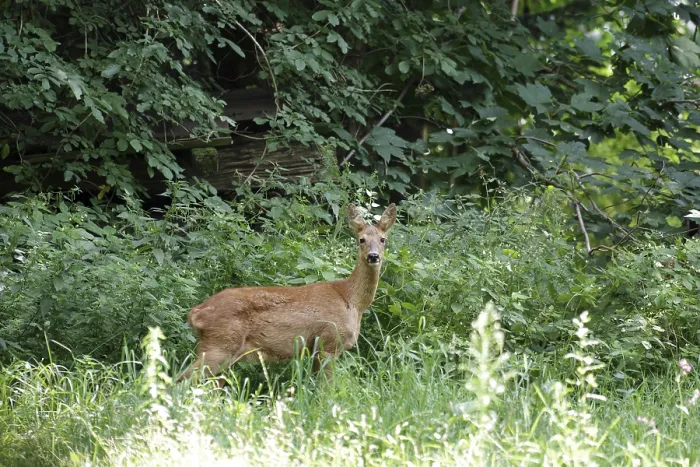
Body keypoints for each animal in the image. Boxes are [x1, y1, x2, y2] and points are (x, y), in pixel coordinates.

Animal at [177, 203, 397, 384]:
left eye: (383, 239)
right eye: (361, 240)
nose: (373, 256)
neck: (351, 300)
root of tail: (196, 313)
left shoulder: (315, 349)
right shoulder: (329, 342)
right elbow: (326, 388)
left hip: (226, 352)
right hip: (220, 344)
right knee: (182, 380)